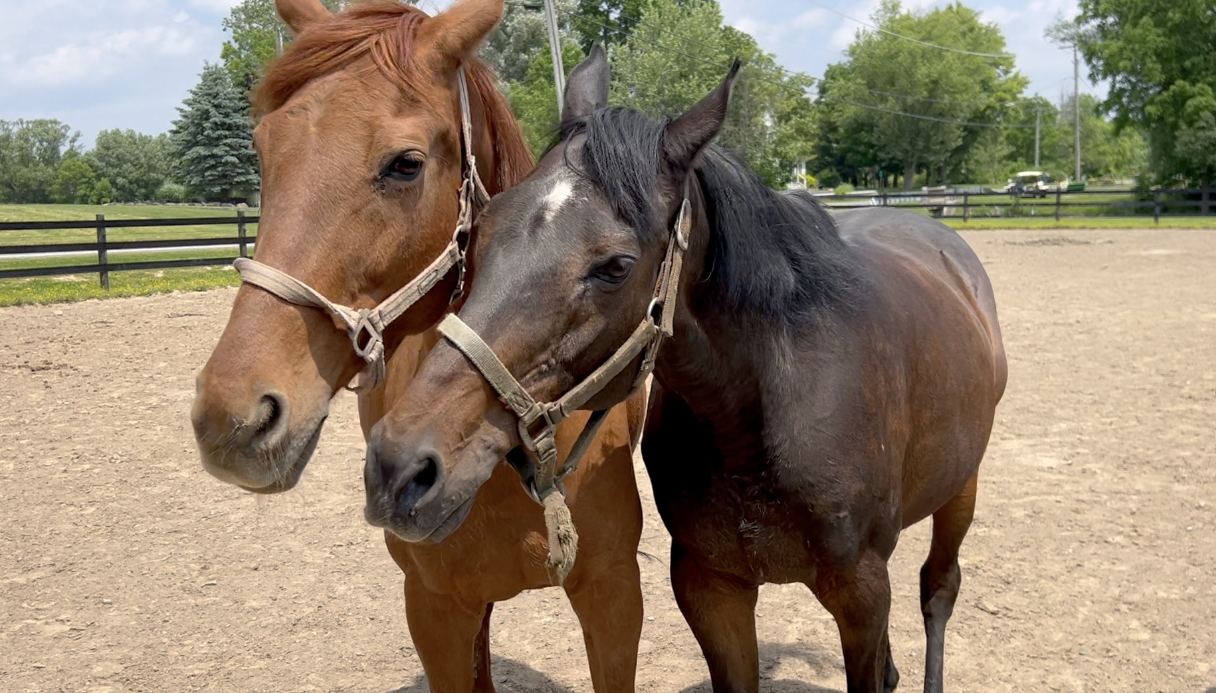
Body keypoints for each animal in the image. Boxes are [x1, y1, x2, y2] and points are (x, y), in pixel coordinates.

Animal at [366, 50, 1007, 693]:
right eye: (482, 229)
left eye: (615, 266)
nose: (399, 467)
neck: (754, 425)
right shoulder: (711, 588)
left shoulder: (862, 592)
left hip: (964, 486)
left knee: (938, 591)